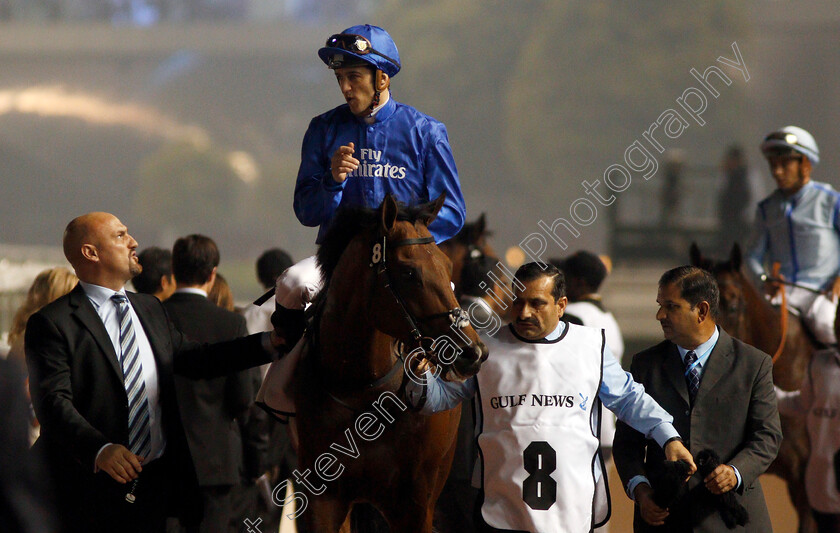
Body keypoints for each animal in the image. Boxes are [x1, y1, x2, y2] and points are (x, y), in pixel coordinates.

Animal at [296, 195, 492, 532]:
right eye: (410, 273)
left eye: (447, 266)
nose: (473, 352)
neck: (360, 390)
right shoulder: (322, 498)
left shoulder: (415, 504)